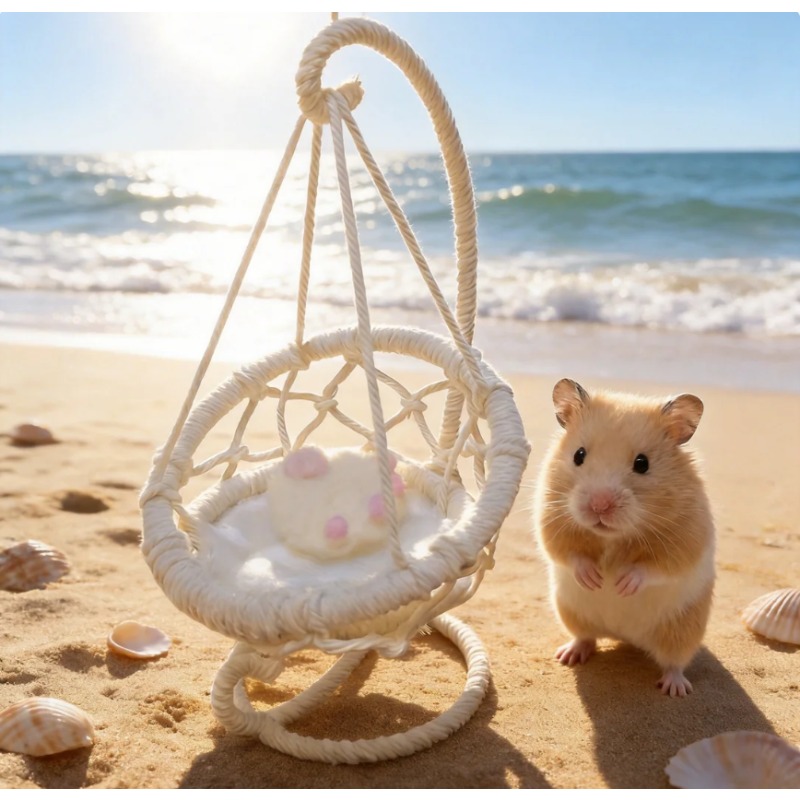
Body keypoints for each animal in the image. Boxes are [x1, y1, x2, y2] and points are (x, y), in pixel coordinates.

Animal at [533, 378, 715, 697]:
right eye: (578, 455)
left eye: (642, 463)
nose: (599, 506)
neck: (612, 537)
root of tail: (624, 636)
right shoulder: (550, 518)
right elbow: (568, 553)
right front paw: (595, 579)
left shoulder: (687, 538)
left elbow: (655, 567)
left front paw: (621, 584)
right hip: (570, 612)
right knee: (586, 638)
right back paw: (568, 656)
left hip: (682, 629)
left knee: (674, 661)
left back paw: (675, 689)